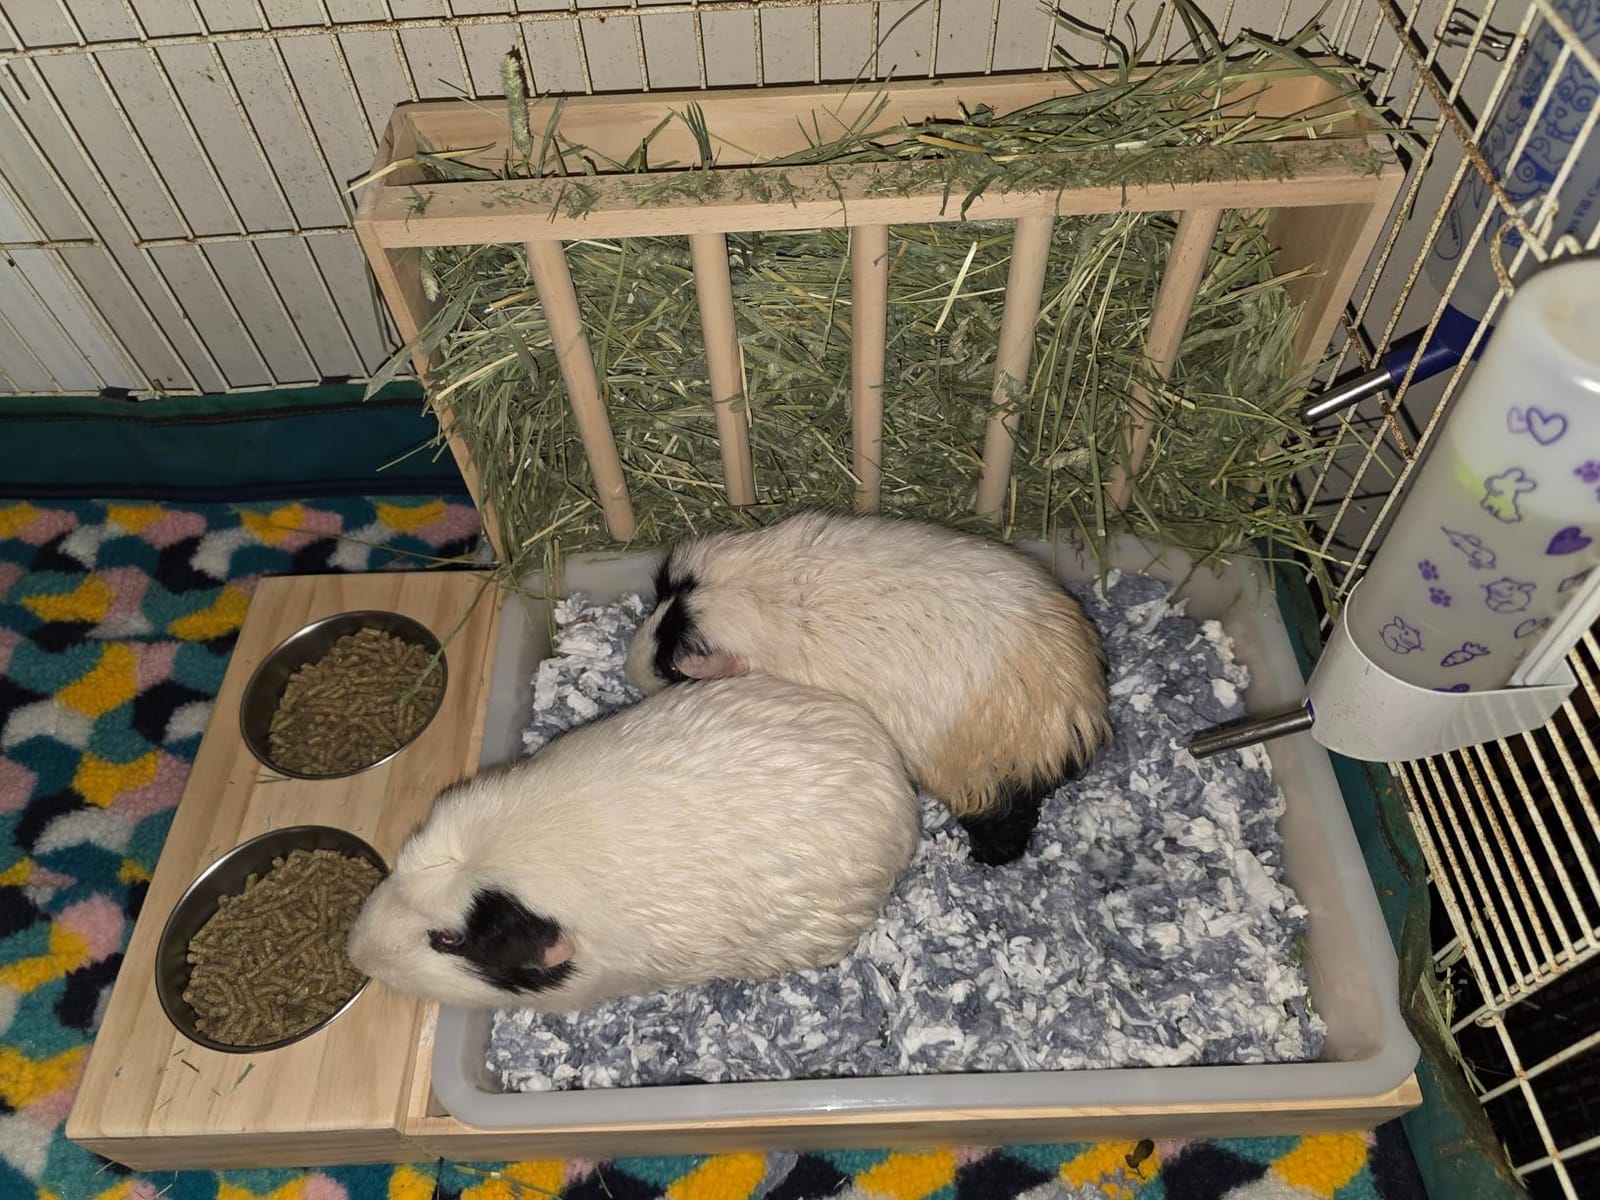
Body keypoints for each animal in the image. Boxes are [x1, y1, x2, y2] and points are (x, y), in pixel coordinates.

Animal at [624, 510, 1111, 867]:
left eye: (673, 666)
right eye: (656, 605)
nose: (631, 670)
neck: (759, 593)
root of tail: (1074, 709)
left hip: (985, 786)